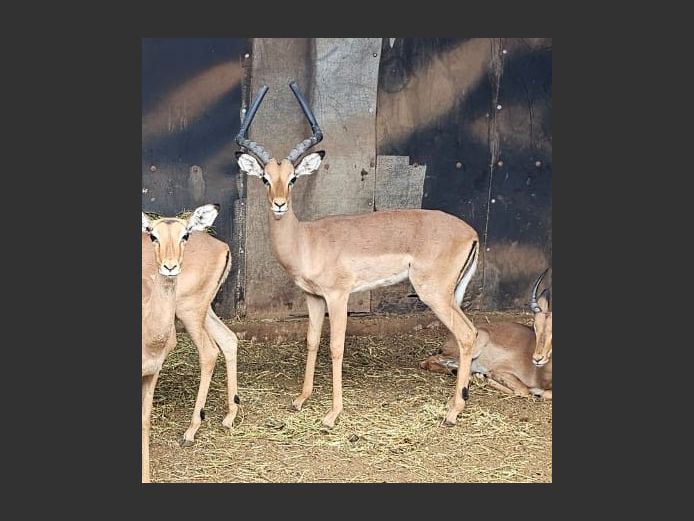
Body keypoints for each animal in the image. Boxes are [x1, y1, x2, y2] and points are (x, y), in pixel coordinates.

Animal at [141, 204, 240, 483]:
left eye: (185, 235)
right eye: (152, 234)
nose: (169, 266)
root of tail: (222, 247)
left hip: (190, 312)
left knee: (209, 351)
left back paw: (191, 430)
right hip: (202, 311)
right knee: (229, 339)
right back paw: (229, 416)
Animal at [235, 82, 480, 427]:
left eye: (293, 178)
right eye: (265, 178)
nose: (279, 204)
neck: (306, 240)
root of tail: (471, 233)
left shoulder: (339, 296)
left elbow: (336, 346)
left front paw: (332, 414)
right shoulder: (313, 298)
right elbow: (312, 341)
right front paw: (301, 399)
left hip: (433, 293)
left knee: (468, 334)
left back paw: (453, 412)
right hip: (449, 295)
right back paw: (453, 402)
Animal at [420, 269, 552, 399]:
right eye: (535, 327)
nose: (537, 358)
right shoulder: (499, 370)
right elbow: (523, 390)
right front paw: (484, 377)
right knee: (428, 361)